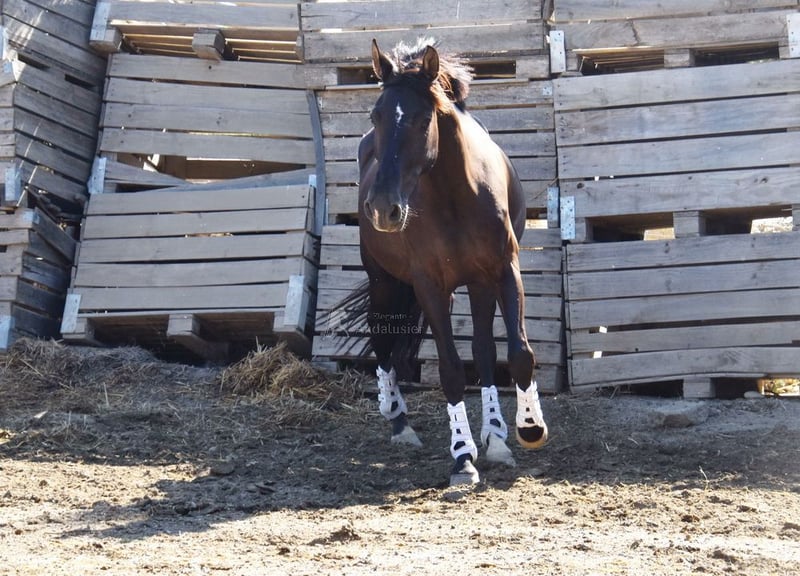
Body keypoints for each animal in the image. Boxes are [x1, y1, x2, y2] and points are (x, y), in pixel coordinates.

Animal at [357, 38, 548, 486]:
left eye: (422, 118)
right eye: (376, 114)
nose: (382, 208)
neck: (456, 194)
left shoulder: (504, 271)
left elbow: (517, 353)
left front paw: (529, 427)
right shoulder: (429, 285)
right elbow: (449, 370)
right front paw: (462, 456)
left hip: (477, 285)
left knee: (482, 349)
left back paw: (495, 435)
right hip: (384, 281)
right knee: (381, 338)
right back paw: (398, 419)